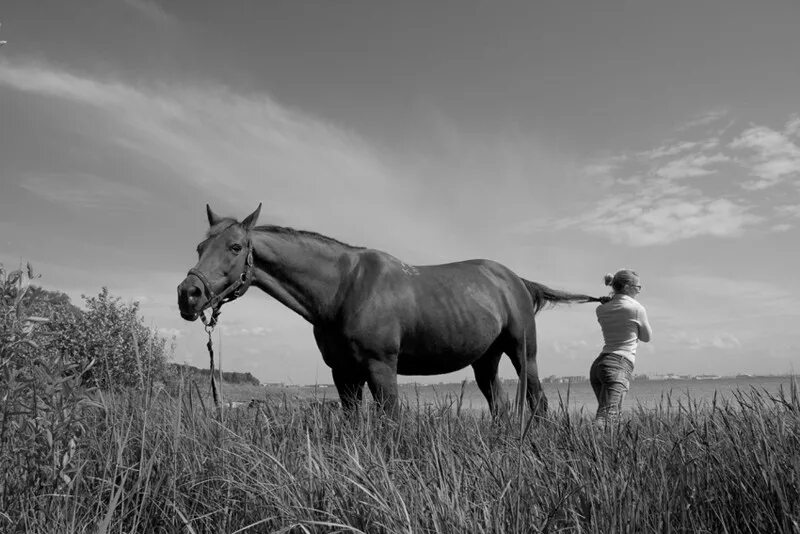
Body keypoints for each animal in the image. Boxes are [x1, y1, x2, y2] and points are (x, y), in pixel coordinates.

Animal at [175, 205, 600, 418]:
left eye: (234, 247)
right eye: (199, 247)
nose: (188, 294)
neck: (343, 288)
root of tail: (515, 280)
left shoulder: (381, 368)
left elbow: (390, 423)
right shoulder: (344, 373)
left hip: (522, 353)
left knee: (538, 402)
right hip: (485, 359)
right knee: (498, 405)